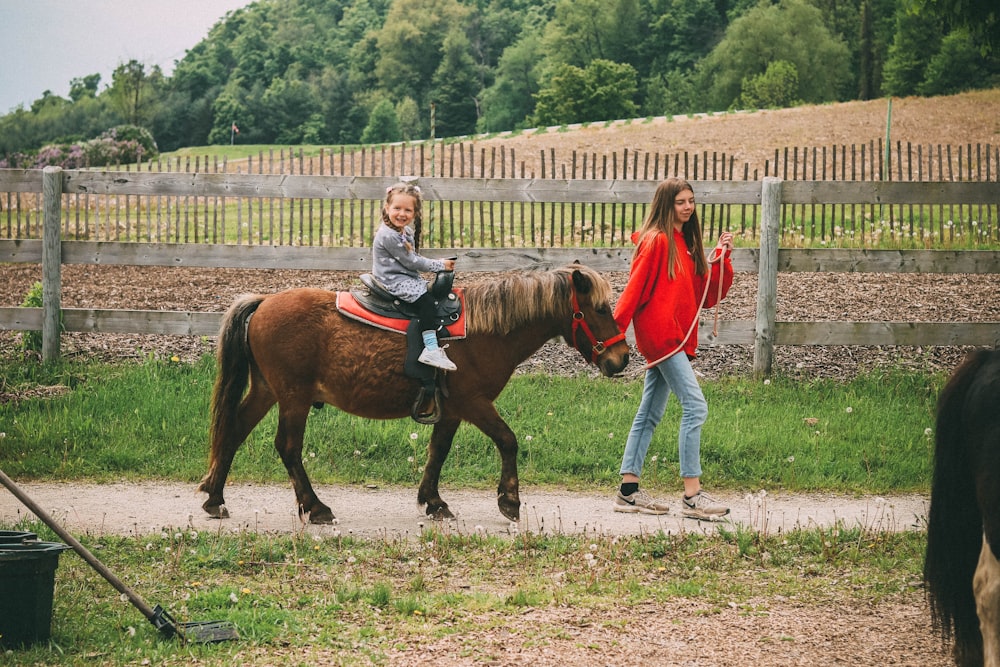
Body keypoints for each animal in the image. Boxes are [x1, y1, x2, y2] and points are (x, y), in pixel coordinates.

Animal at [199, 264, 628, 524]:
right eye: (600, 309)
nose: (622, 358)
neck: (483, 331)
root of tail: (263, 302)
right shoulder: (474, 403)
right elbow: (508, 440)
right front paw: (509, 499)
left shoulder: (452, 410)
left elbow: (437, 452)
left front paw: (433, 501)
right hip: (293, 398)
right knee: (287, 447)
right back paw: (315, 506)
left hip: (267, 391)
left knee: (233, 431)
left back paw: (215, 497)